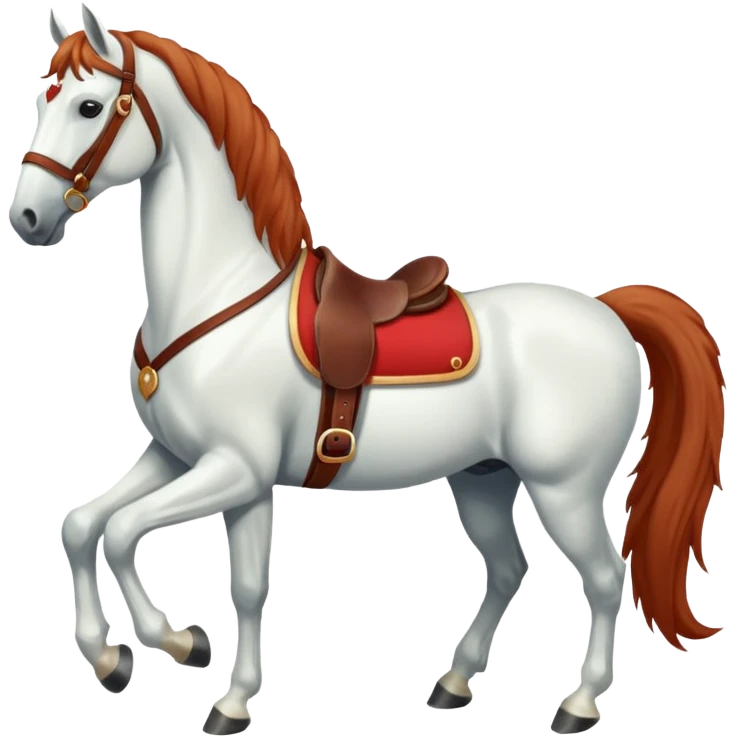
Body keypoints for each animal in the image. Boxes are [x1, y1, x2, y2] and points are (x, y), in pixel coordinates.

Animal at [10, 5, 727, 736]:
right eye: (44, 98)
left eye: (90, 106)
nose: (28, 216)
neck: (220, 295)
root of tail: (605, 312)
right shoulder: (182, 459)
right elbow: (92, 529)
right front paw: (127, 663)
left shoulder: (233, 469)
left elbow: (129, 535)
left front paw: (184, 651)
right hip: (483, 479)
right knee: (507, 567)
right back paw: (453, 682)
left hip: (565, 490)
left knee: (605, 578)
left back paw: (578, 704)